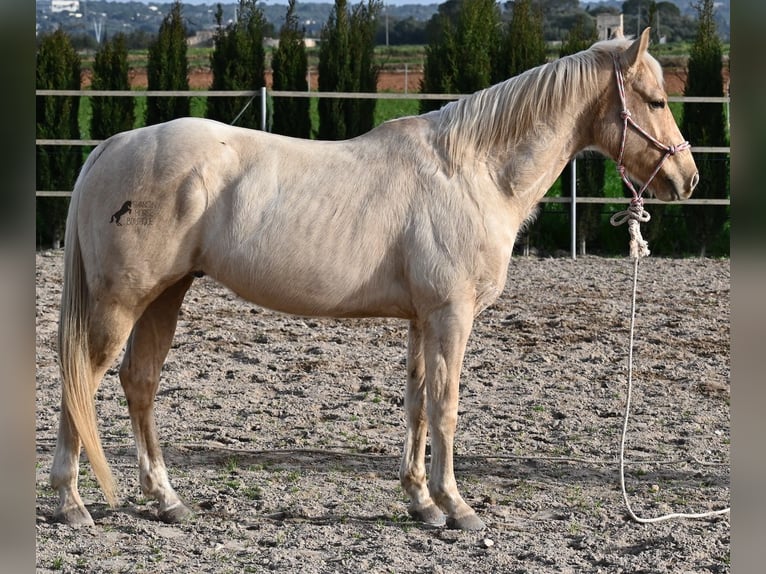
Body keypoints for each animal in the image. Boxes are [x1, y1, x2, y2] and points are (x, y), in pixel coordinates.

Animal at [50, 28, 697, 531]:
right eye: (656, 99)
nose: (688, 178)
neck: (472, 172)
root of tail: (112, 146)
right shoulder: (450, 315)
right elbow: (445, 406)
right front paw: (457, 508)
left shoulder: (422, 320)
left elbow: (416, 405)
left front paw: (422, 504)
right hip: (120, 303)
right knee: (80, 379)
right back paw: (72, 503)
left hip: (166, 295)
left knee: (139, 382)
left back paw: (165, 500)